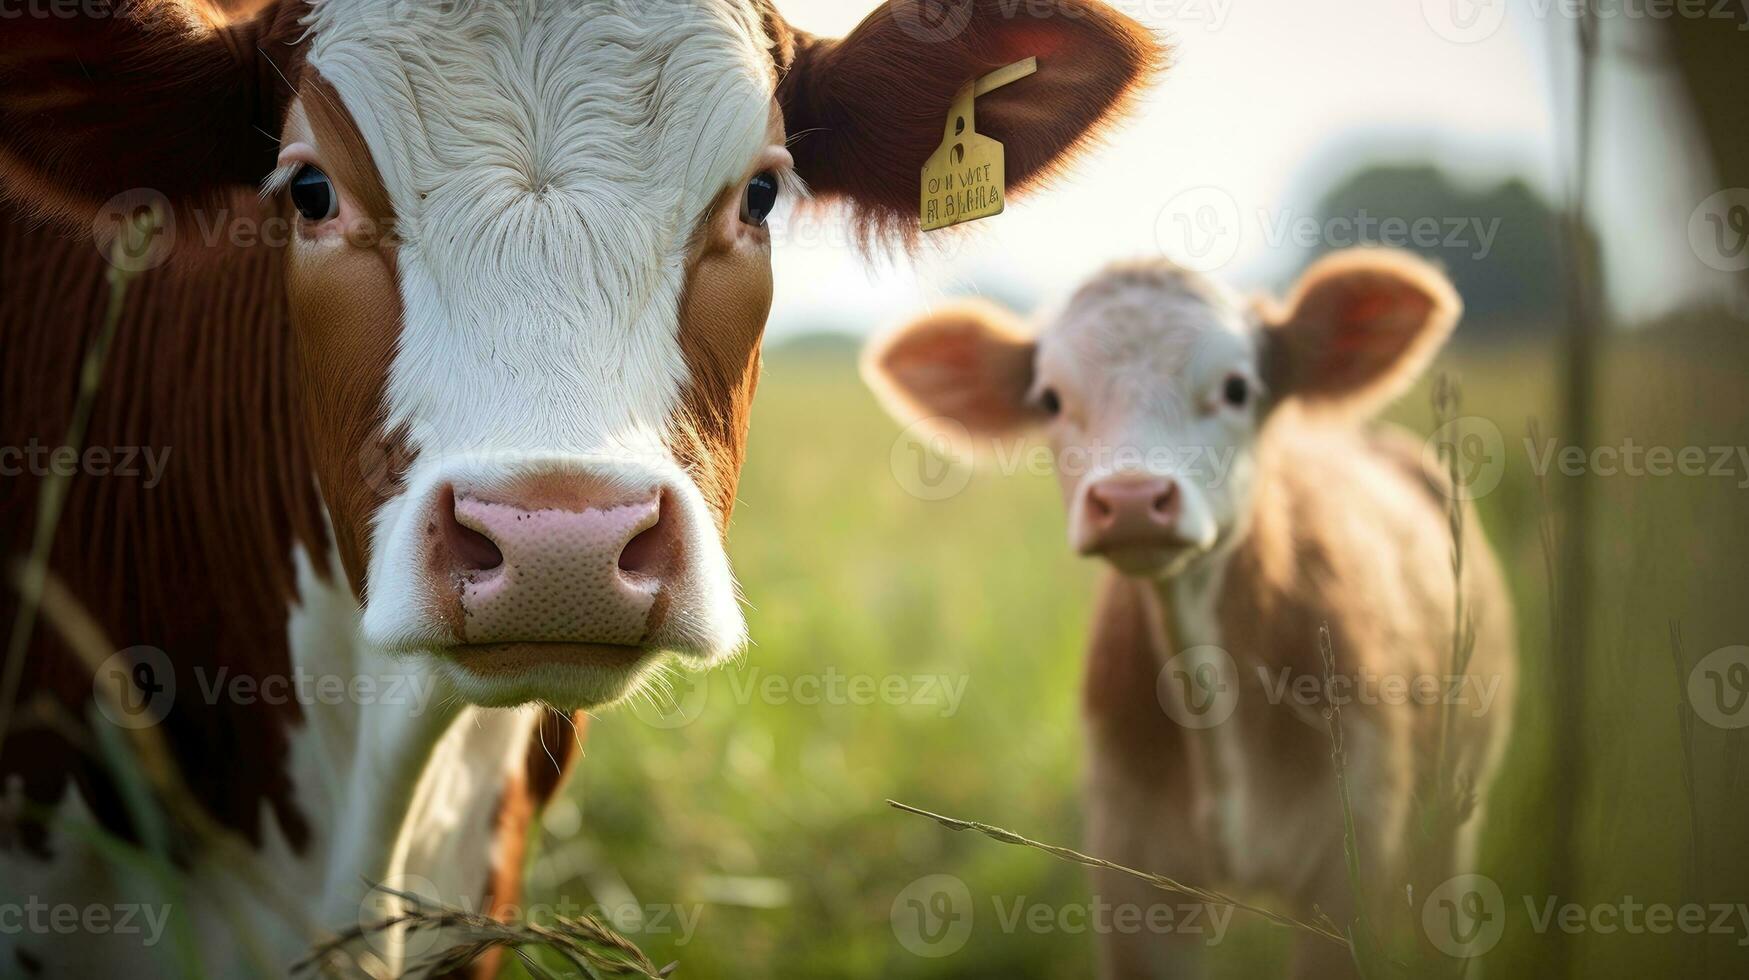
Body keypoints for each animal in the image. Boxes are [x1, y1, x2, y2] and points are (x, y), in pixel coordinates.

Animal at [864, 252, 1518, 980]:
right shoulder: (1130, 871)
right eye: (1051, 400)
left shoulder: (1354, 864)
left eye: (1236, 388)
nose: (1129, 499)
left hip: (1457, 808)